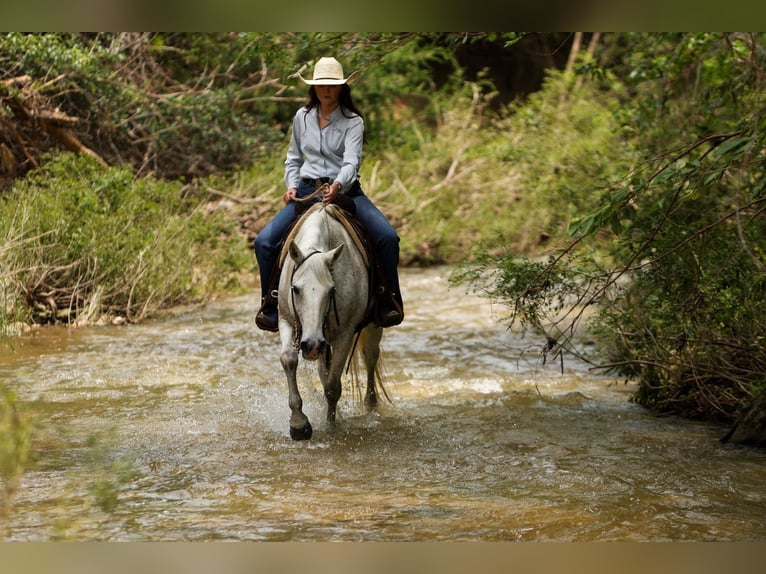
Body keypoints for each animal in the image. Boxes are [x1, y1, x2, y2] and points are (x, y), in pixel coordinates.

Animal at [278, 202, 388, 440]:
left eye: (331, 291)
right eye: (295, 289)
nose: (311, 345)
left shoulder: (345, 334)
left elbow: (332, 387)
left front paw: (331, 427)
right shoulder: (287, 320)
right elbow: (289, 360)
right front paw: (299, 424)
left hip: (370, 328)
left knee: (370, 357)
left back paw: (370, 405)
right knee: (324, 371)